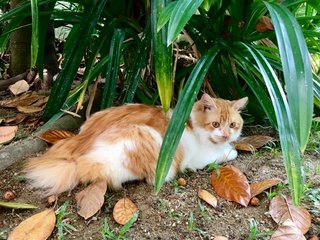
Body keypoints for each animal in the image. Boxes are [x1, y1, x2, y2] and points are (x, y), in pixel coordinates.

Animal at [24, 93, 248, 196]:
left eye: (233, 125)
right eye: (216, 124)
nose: (226, 134)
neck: (190, 122)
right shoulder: (199, 157)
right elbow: (229, 153)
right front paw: (231, 150)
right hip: (144, 138)